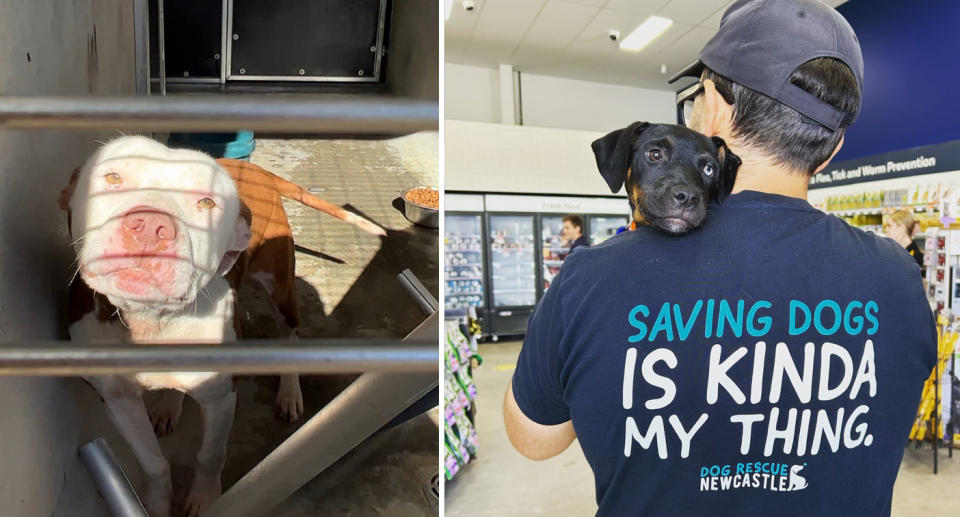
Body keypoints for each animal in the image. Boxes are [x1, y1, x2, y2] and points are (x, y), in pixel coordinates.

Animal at [58, 135, 382, 512]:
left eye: (207, 202)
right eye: (112, 177)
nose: (150, 226)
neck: (151, 320)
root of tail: (254, 169)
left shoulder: (221, 397)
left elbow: (210, 456)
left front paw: (204, 499)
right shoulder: (117, 399)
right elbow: (152, 461)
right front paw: (156, 502)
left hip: (280, 286)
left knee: (290, 332)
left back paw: (289, 392)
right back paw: (169, 406)